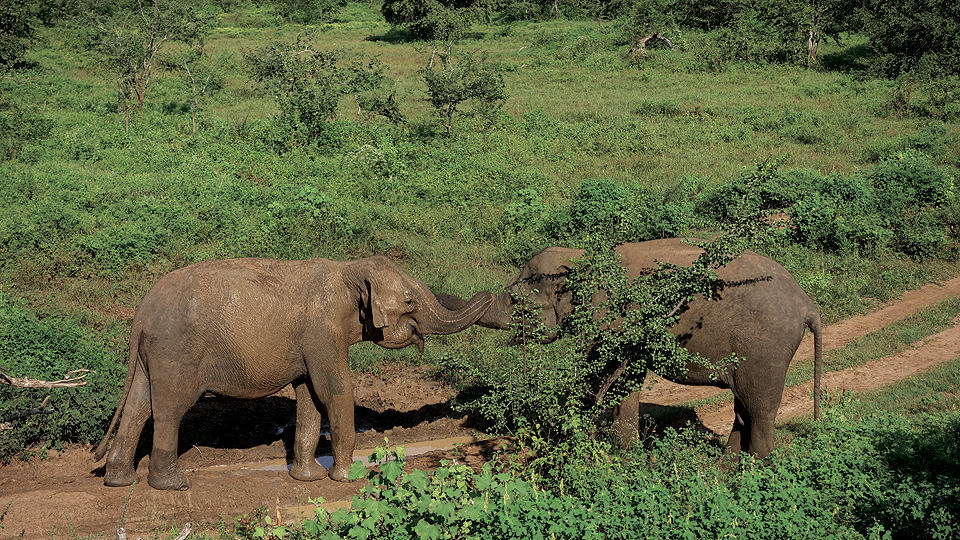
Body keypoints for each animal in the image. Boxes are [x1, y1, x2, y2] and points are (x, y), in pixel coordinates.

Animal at [93, 254, 492, 490]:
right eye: (409, 301)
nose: (492, 294)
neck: (347, 268)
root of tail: (141, 313)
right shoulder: (322, 331)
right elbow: (334, 390)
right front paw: (348, 479)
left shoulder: (311, 342)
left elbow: (310, 397)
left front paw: (309, 478)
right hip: (176, 352)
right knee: (169, 410)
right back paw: (172, 485)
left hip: (151, 357)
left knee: (139, 406)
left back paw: (119, 481)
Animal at [438, 238, 820, 458]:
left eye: (516, 301)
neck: (582, 256)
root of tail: (808, 304)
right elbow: (626, 379)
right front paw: (628, 455)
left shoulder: (614, 318)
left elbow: (608, 374)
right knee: (743, 407)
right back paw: (722, 472)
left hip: (766, 348)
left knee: (759, 409)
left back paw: (752, 476)